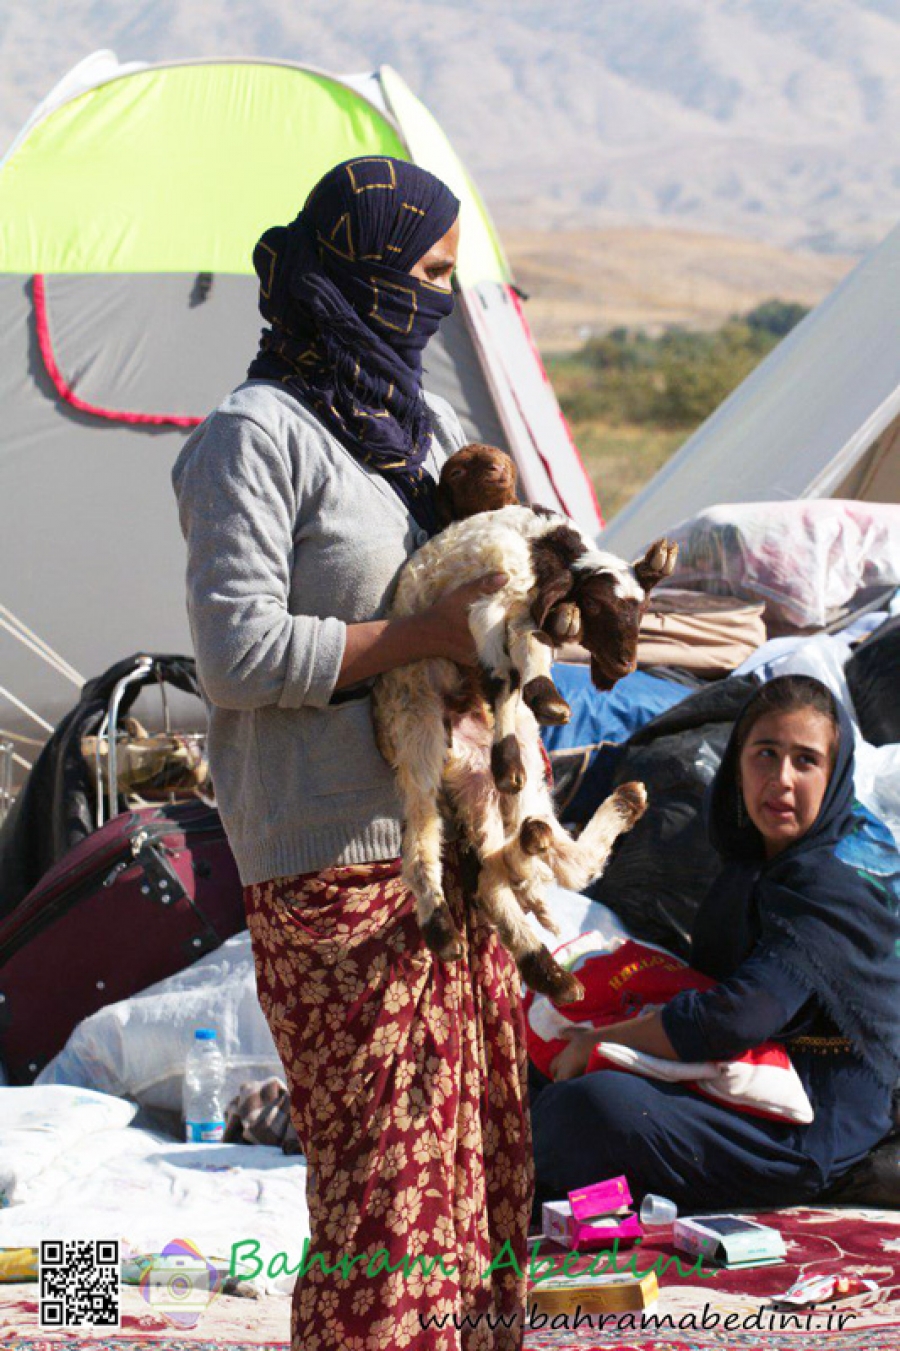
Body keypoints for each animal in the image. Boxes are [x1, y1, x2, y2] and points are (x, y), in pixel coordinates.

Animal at [370, 453, 672, 1005]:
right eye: (598, 607)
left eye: (640, 609)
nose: (623, 667)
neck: (544, 546)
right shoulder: (490, 599)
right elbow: (506, 670)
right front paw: (543, 701)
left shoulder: (518, 605)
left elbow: (528, 648)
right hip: (417, 726)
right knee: (423, 835)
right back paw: (443, 928)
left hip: (508, 787)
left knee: (512, 871)